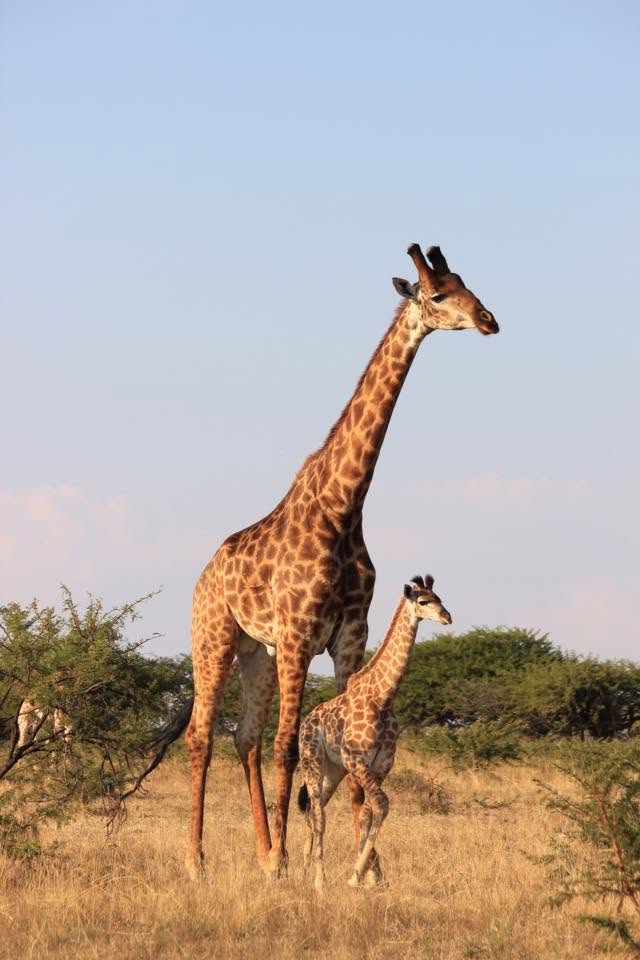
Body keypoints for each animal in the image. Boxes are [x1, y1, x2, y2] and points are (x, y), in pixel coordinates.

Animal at [298, 575, 451, 891]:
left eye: (440, 597)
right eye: (423, 601)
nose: (447, 617)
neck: (383, 697)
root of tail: (306, 722)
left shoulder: (381, 763)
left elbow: (369, 811)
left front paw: (367, 877)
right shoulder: (356, 758)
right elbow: (381, 803)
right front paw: (356, 876)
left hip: (332, 771)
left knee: (311, 812)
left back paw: (303, 872)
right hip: (312, 761)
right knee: (318, 813)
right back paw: (319, 880)